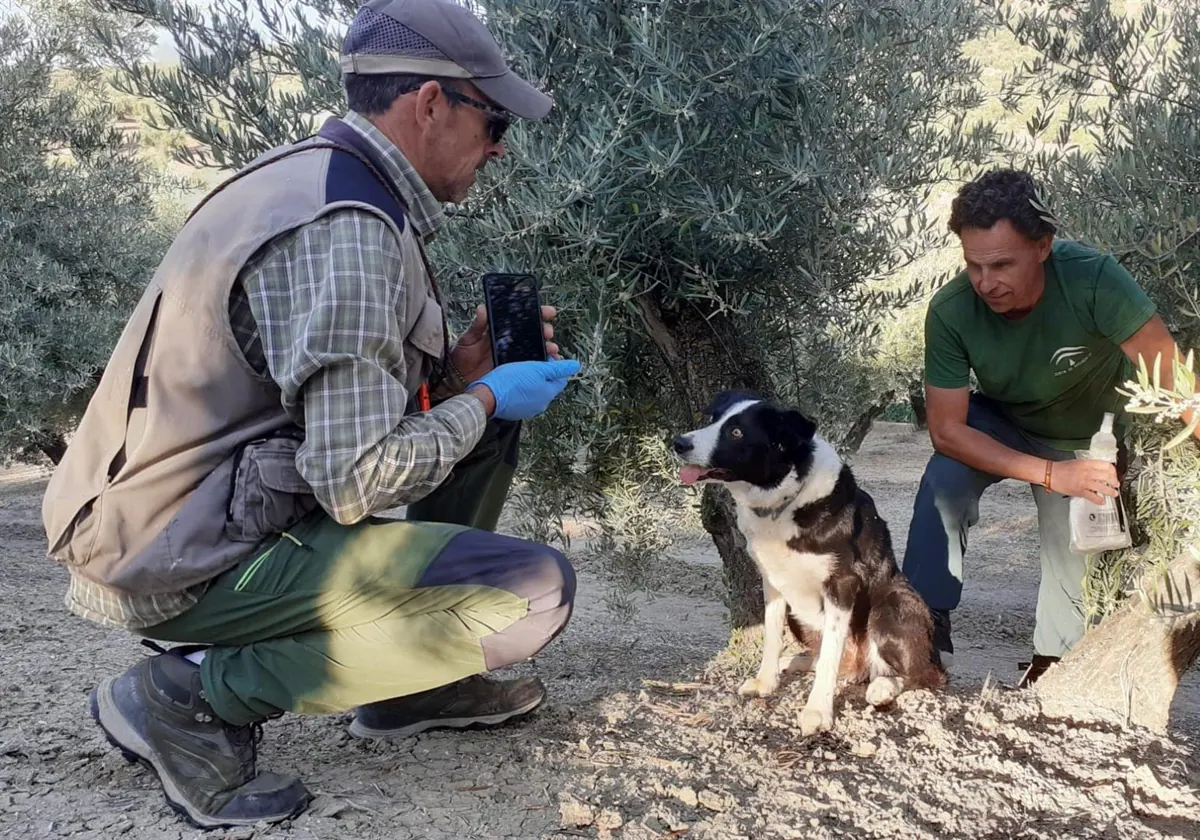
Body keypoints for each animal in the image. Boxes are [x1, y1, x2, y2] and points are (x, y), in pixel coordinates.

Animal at [676, 391, 945, 729]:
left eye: (736, 432)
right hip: (799, 612)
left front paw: (817, 710)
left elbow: (830, 652)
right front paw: (766, 681)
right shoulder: (772, 581)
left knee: (924, 676)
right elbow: (772, 634)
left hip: (893, 603)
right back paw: (799, 662)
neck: (782, 501)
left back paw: (882, 686)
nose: (678, 442)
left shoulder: (842, 584)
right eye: (713, 419)